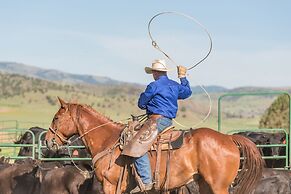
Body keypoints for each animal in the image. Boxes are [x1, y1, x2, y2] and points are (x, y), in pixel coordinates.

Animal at [45, 98, 264, 194]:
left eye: (56, 118)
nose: (47, 140)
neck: (108, 140)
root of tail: (228, 139)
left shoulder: (110, 185)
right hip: (204, 184)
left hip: (219, 187)